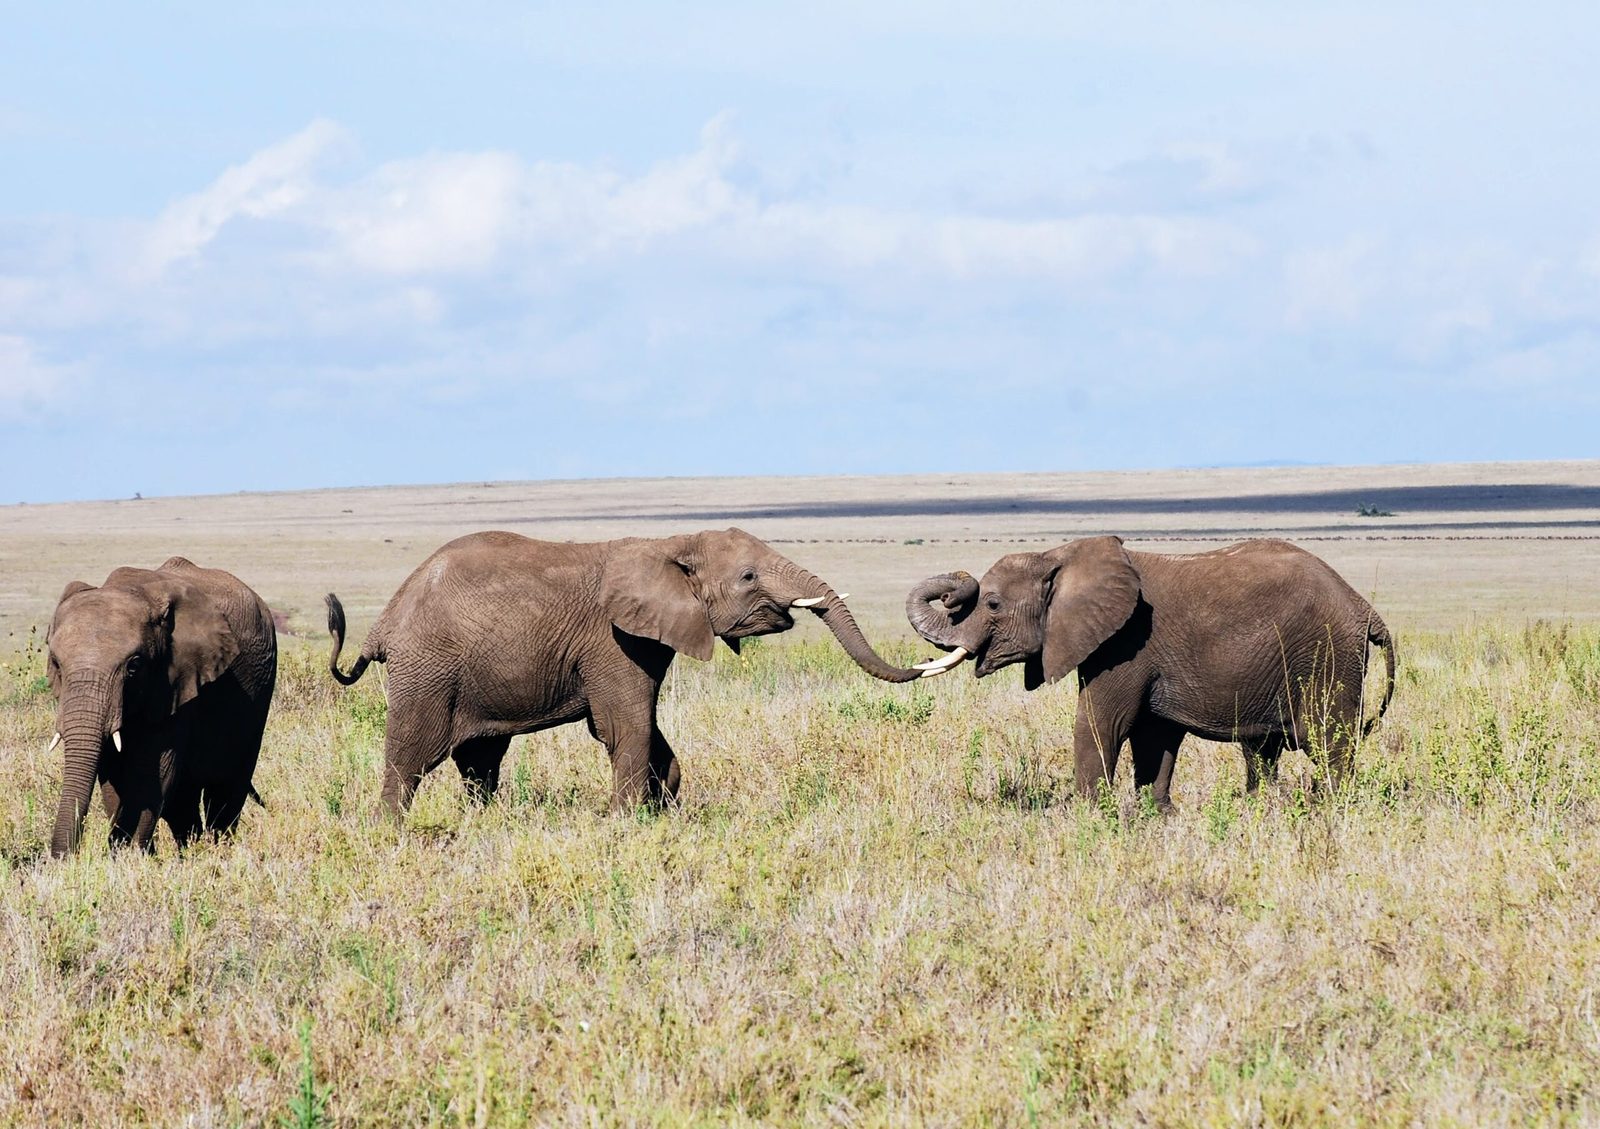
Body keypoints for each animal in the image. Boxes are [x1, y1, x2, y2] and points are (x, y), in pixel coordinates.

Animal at [43, 557, 277, 857]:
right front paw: (126, 855)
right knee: (183, 801)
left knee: (226, 789)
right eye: (56, 664)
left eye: (134, 666)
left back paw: (217, 852)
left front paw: (131, 857)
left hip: (259, 694)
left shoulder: (176, 680)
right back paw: (189, 852)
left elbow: (153, 771)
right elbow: (112, 773)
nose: (62, 859)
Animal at [325, 527, 922, 817]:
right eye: (749, 576)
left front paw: (663, 806)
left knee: (480, 759)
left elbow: (646, 728)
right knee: (413, 754)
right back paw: (388, 830)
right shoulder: (612, 642)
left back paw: (483, 823)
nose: (925, 663)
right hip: (427, 669)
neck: (670, 545)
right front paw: (624, 822)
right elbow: (623, 724)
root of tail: (384, 623)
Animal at [907, 537, 1396, 806]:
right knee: (1262, 751)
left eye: (992, 604)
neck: (1058, 555)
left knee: (1328, 741)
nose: (954, 589)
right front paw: (1156, 816)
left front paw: (1088, 817)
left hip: (1327, 655)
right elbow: (1153, 735)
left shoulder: (1127, 643)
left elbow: (1100, 723)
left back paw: (1325, 809)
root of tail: (1365, 608)